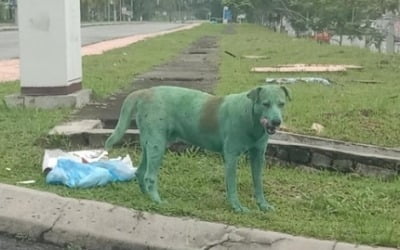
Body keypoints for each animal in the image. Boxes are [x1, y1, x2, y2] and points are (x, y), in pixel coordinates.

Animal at [104, 85, 290, 212]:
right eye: (265, 104)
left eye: (281, 104)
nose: (276, 122)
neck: (251, 117)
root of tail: (145, 92)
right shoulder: (231, 157)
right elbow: (232, 185)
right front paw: (237, 207)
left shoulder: (258, 156)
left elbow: (258, 182)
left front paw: (263, 205)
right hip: (157, 144)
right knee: (150, 176)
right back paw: (158, 201)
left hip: (150, 144)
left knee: (140, 171)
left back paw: (146, 197)